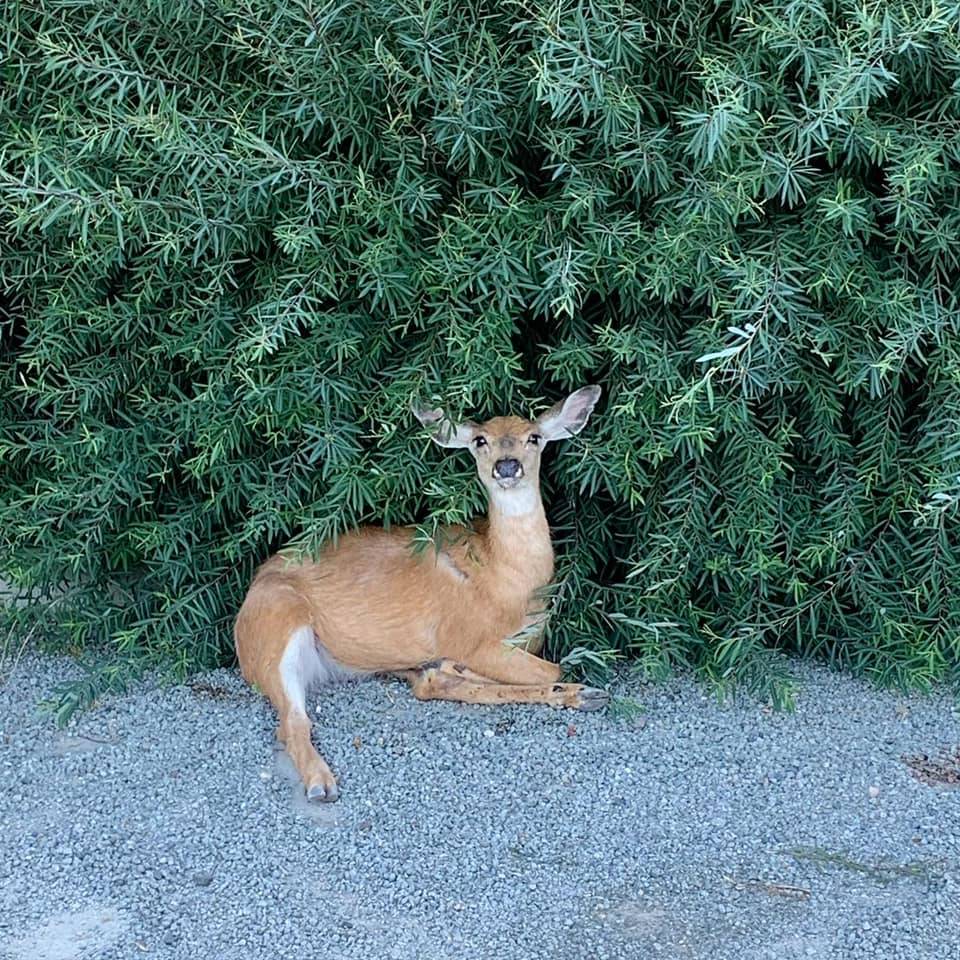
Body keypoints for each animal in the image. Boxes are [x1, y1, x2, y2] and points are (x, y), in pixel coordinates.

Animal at [234, 385, 608, 802]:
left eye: (534, 437)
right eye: (480, 440)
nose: (507, 466)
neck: (510, 580)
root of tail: (248, 599)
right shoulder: (468, 636)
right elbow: (552, 665)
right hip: (278, 626)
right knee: (292, 722)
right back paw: (321, 783)